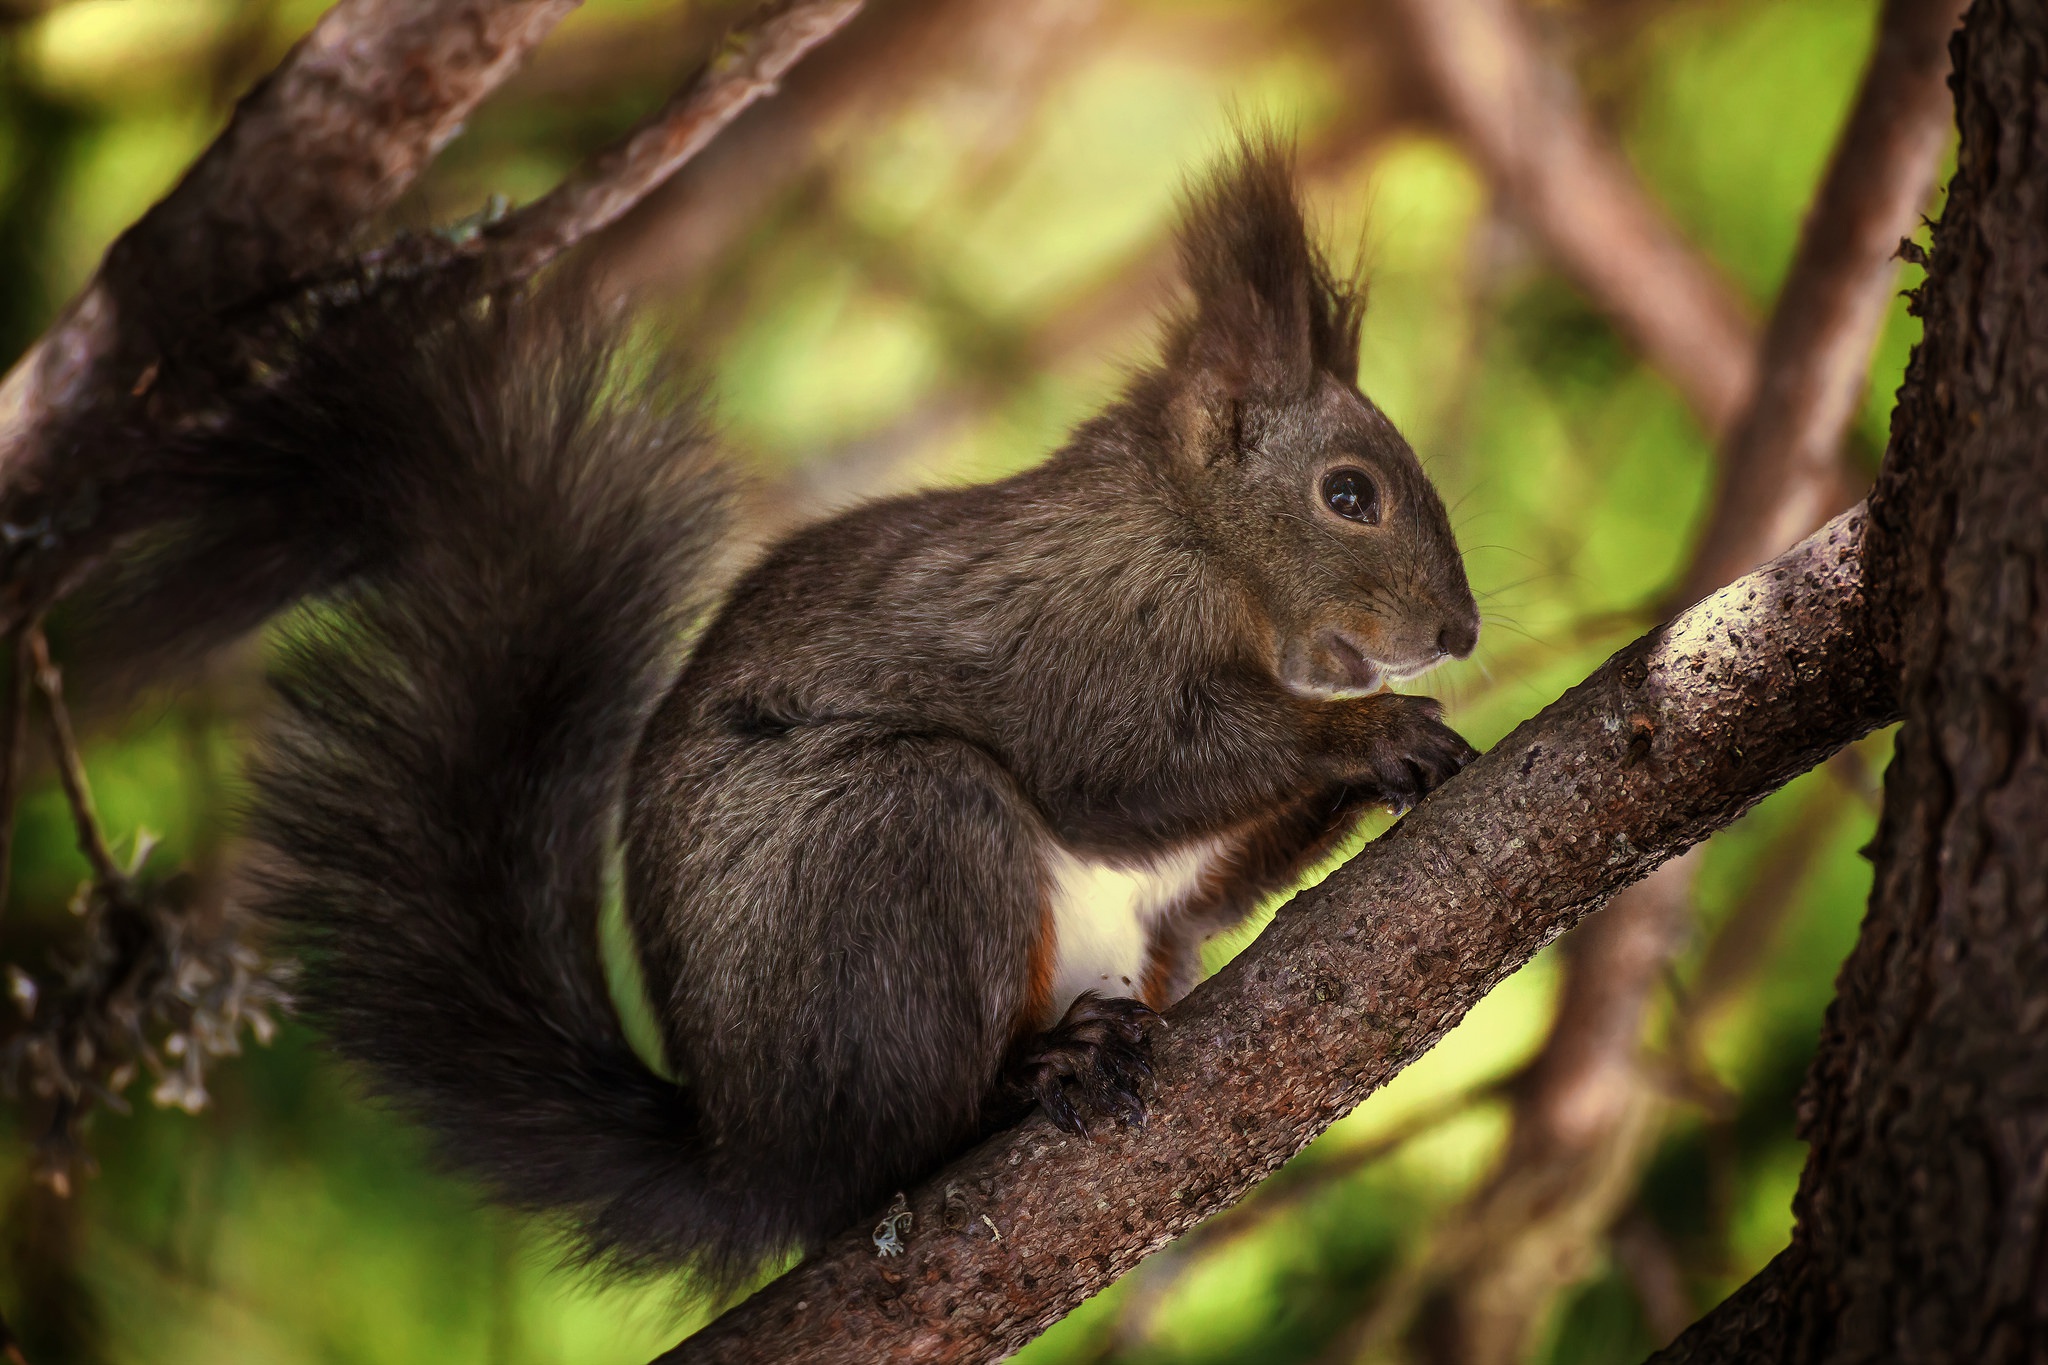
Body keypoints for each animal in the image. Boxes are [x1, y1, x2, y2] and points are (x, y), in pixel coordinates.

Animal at [136, 136, 1482, 1285]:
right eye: (1347, 495)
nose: (1460, 635)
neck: (1192, 537)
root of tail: (753, 1158)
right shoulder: (1080, 630)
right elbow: (1127, 774)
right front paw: (1373, 735)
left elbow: (1203, 876)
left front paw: (1395, 767)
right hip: (887, 844)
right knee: (901, 1137)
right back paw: (1029, 1073)